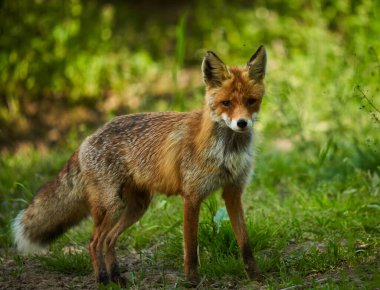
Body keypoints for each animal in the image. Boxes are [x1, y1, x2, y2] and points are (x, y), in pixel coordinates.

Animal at [11, 45, 268, 286]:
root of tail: (86, 139)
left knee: (108, 239)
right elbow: (191, 246)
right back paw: (102, 280)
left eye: (251, 102)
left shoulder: (233, 193)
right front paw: (192, 280)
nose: (242, 123)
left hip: (136, 207)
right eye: (226, 103)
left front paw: (255, 276)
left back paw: (116, 278)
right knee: (94, 242)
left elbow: (245, 243)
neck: (227, 153)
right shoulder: (192, 196)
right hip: (112, 206)